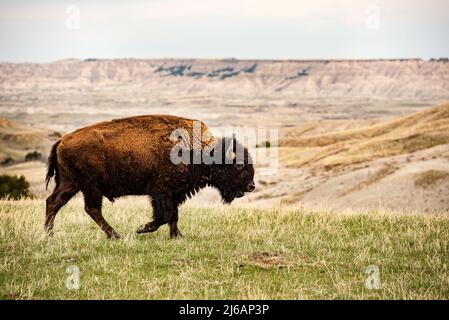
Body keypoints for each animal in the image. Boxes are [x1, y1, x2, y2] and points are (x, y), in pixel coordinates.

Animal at [46, 114, 256, 238]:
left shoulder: (175, 193)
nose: (251, 186)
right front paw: (142, 228)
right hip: (90, 187)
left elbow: (174, 215)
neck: (200, 151)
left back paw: (50, 234)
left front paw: (177, 236)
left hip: (70, 183)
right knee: (91, 209)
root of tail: (62, 140)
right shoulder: (162, 191)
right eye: (239, 165)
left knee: (54, 202)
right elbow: (165, 215)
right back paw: (116, 236)